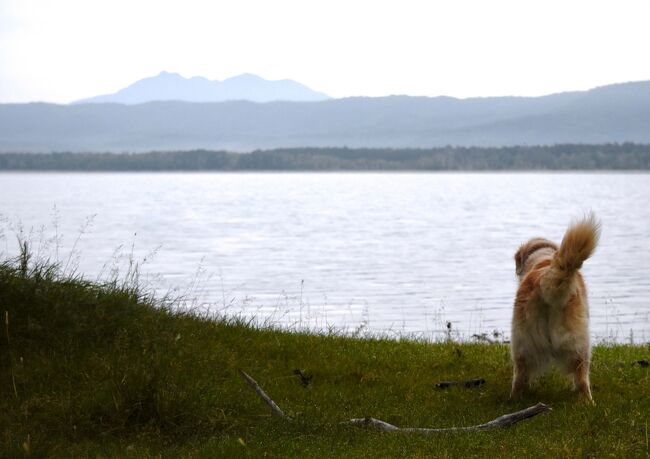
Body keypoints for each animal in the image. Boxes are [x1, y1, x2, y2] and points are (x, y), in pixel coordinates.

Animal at [508, 214, 600, 400]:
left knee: (520, 376)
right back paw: (587, 401)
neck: (543, 258)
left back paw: (514, 399)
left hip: (522, 343)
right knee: (582, 379)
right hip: (581, 346)